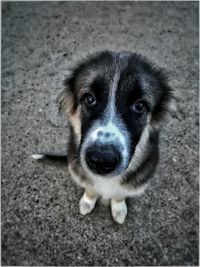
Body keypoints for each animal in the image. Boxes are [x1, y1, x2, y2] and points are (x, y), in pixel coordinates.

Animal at [31, 50, 175, 224]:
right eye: (89, 99)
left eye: (140, 106)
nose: (101, 160)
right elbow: (91, 188)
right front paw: (87, 202)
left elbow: (119, 194)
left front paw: (118, 209)